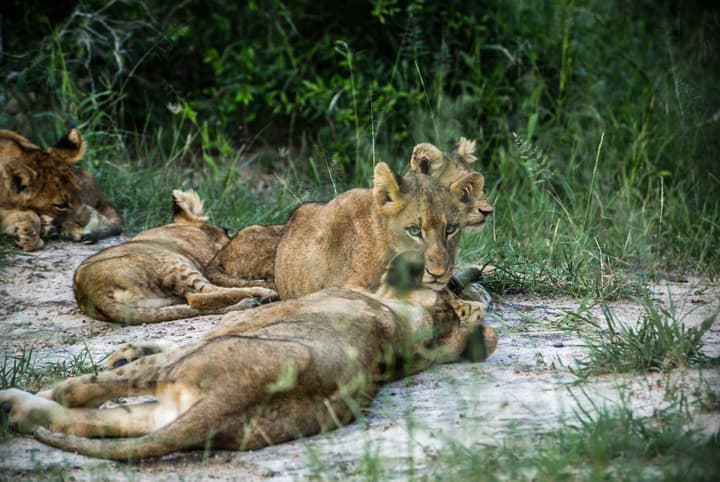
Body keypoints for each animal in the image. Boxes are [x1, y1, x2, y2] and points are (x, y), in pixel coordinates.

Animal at [0, 252, 497, 460]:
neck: (403, 324)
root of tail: (228, 404)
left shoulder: (232, 327)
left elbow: (179, 341)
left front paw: (121, 355)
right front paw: (124, 351)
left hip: (181, 373)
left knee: (78, 393)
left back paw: (12, 399)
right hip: (160, 414)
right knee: (79, 421)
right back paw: (18, 411)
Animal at [73, 189, 277, 324]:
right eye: (225, 230)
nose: (229, 236)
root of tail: (91, 293)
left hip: (156, 302)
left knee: (193, 304)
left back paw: (250, 302)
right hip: (174, 266)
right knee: (199, 297)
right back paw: (263, 294)